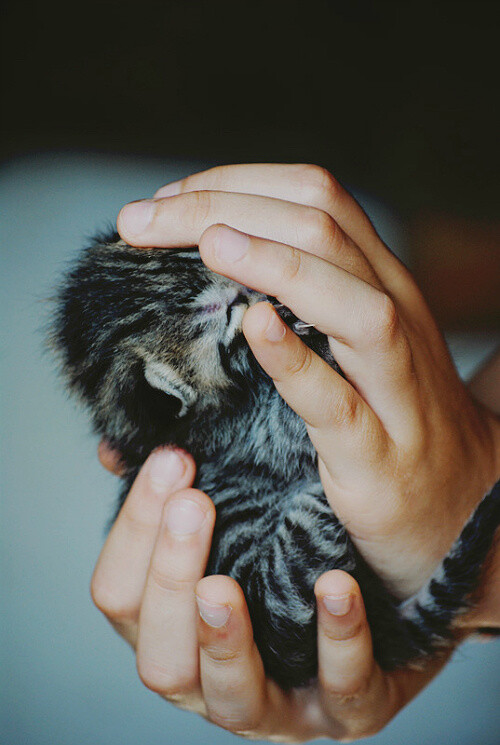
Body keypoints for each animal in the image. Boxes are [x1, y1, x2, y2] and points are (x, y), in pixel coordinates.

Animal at [49, 235, 500, 688]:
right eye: (231, 313)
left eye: (202, 256)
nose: (263, 295)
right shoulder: (248, 440)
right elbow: (294, 432)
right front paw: (314, 343)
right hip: (296, 570)